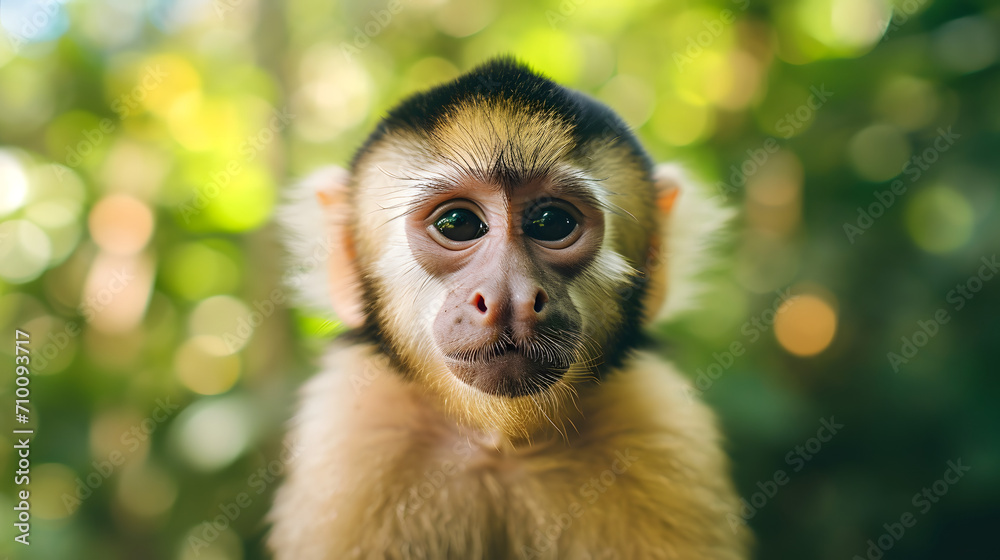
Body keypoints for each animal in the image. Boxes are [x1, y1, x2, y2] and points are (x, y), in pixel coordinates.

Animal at [269, 57, 750, 560]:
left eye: (552, 222)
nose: (510, 296)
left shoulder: (661, 428)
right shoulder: (351, 440)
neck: (502, 447)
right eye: (457, 224)